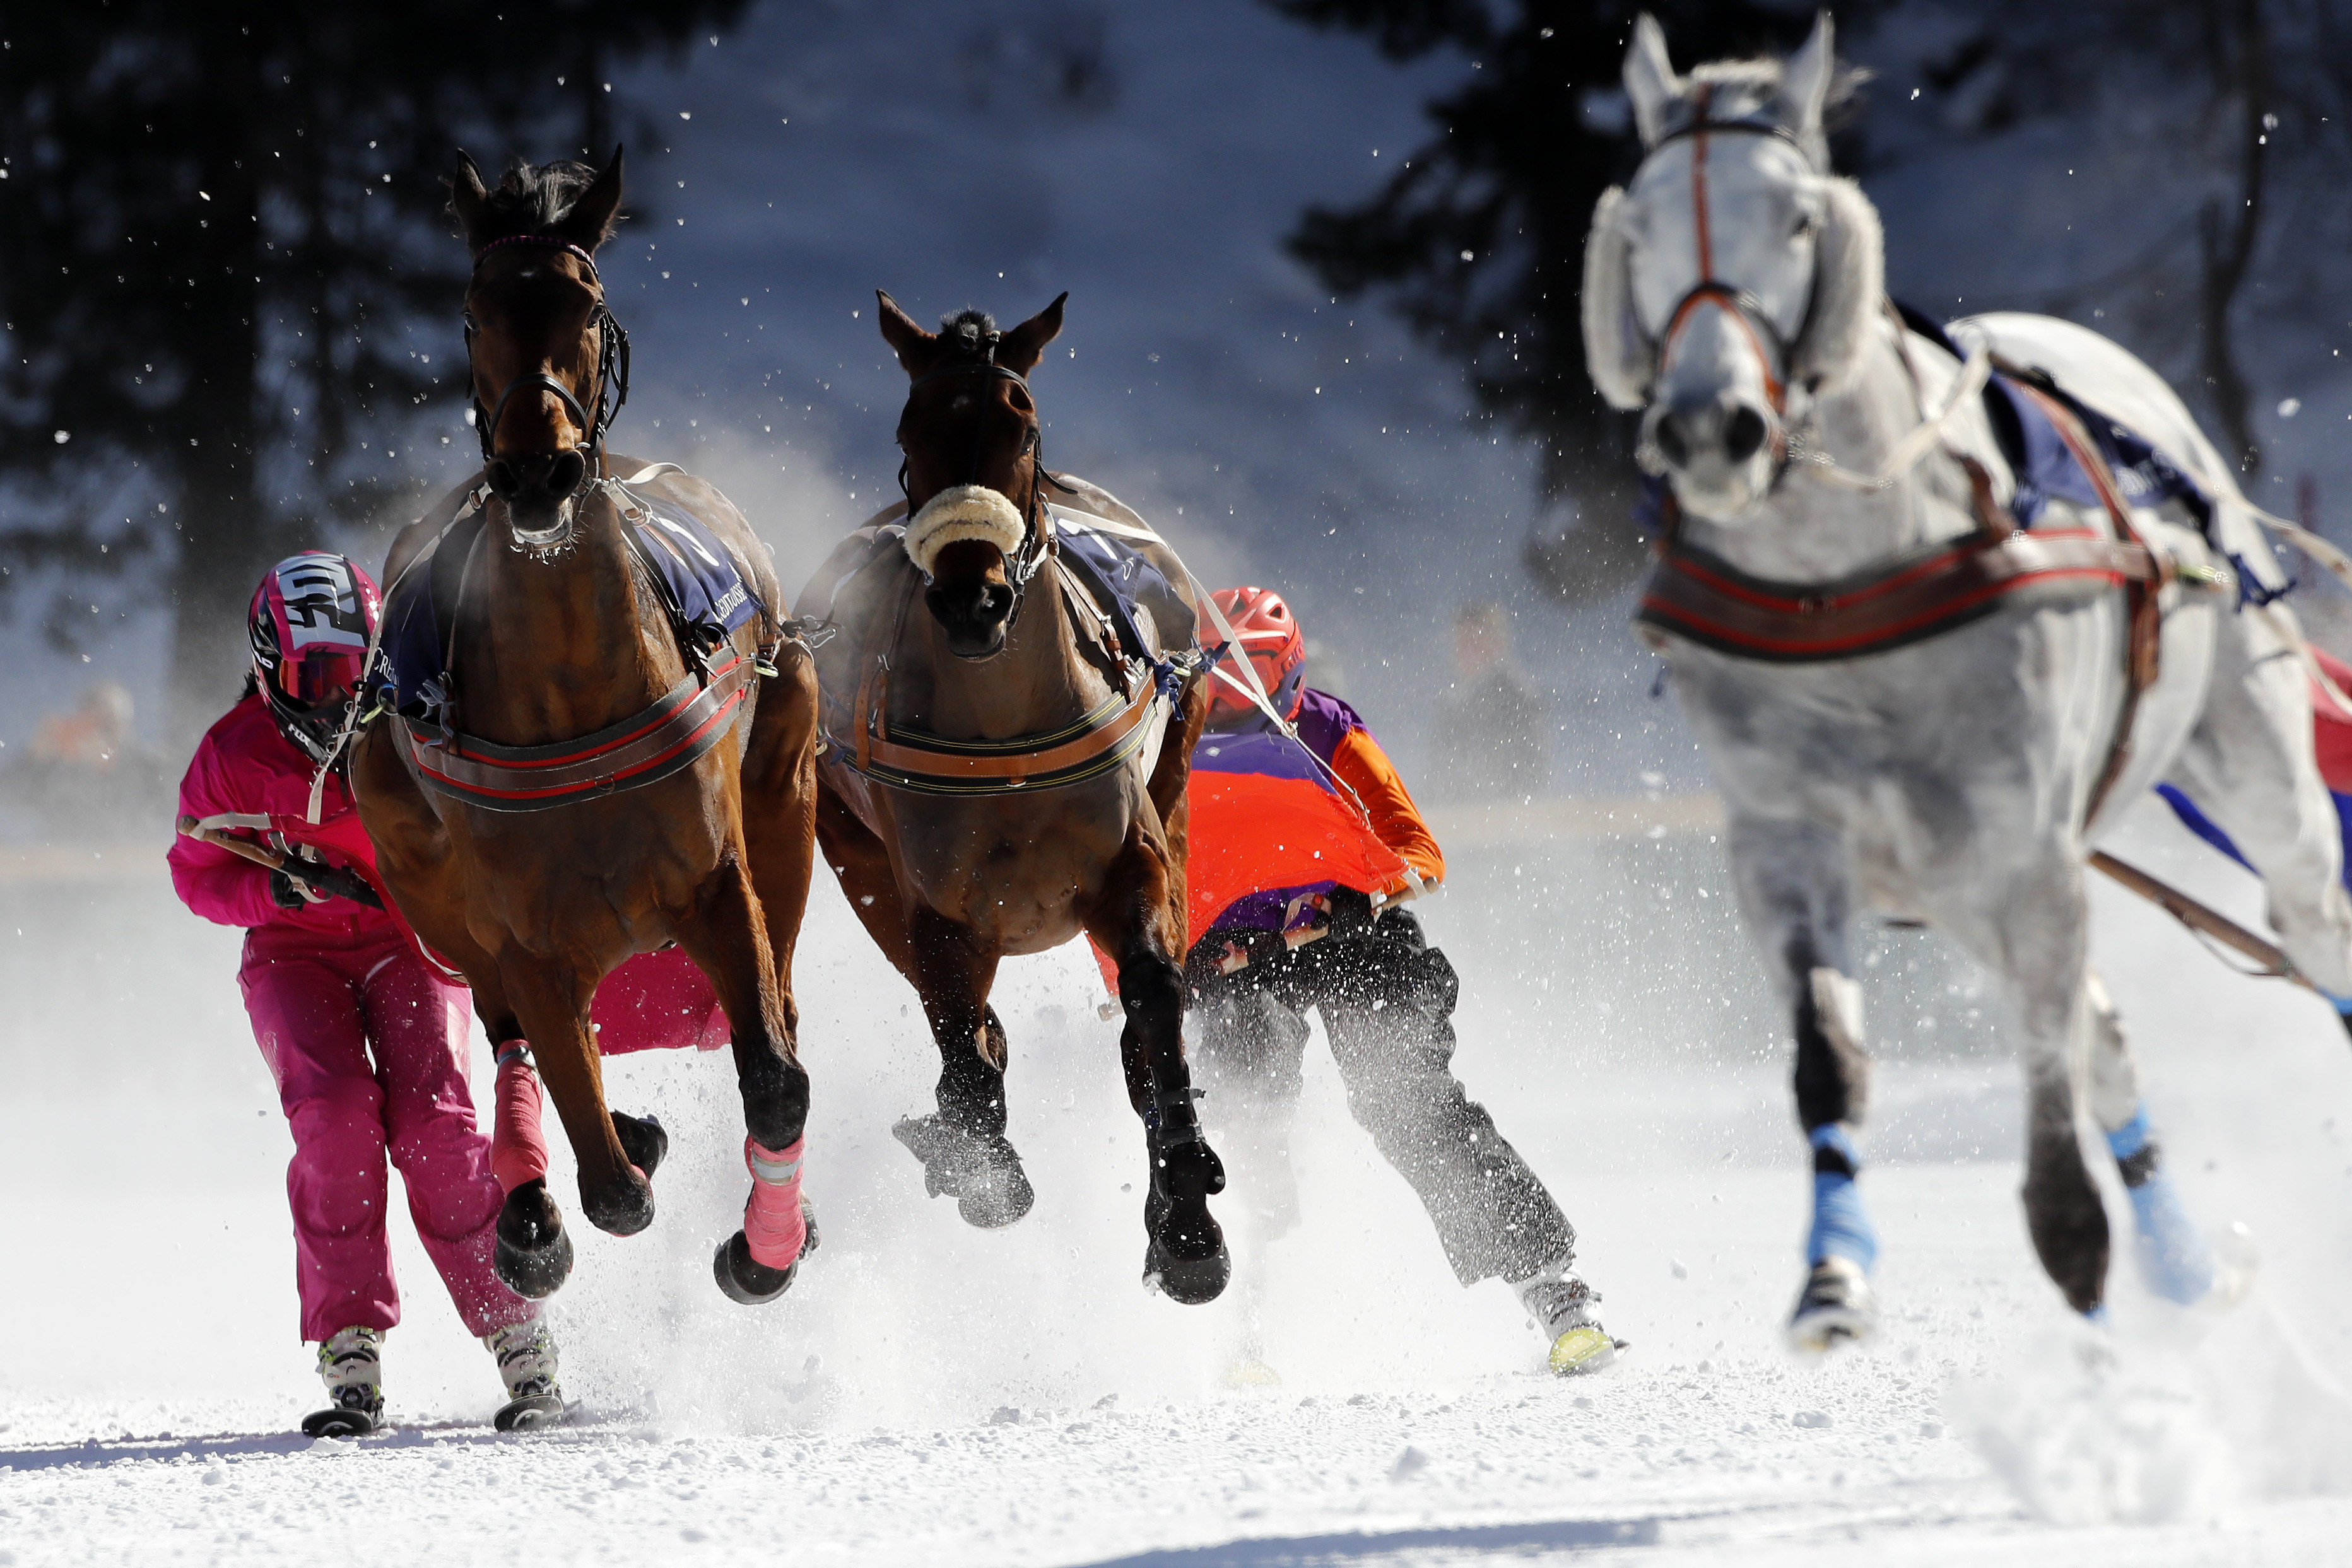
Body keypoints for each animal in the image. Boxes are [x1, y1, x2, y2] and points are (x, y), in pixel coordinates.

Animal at [343, 153, 828, 1307]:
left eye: (587, 303)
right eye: (475, 312)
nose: (537, 471)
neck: (572, 687)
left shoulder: (714, 882)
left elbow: (775, 1080)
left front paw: (763, 1251)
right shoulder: (524, 938)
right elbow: (607, 1181)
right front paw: (593, 1173)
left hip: (784, 789)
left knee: (784, 1001)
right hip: (424, 881)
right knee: (511, 1038)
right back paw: (539, 1199)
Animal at [1580, 6, 2352, 1344]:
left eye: (1796, 219)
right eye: (1634, 233)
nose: (1706, 429)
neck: (1841, 581)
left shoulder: (2021, 848)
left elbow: (2044, 1084)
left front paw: (2073, 1249)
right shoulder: (1788, 841)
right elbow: (1828, 1059)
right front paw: (1832, 1273)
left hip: (2248, 761)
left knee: (2308, 922)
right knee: (2106, 1038)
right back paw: (2183, 1272)